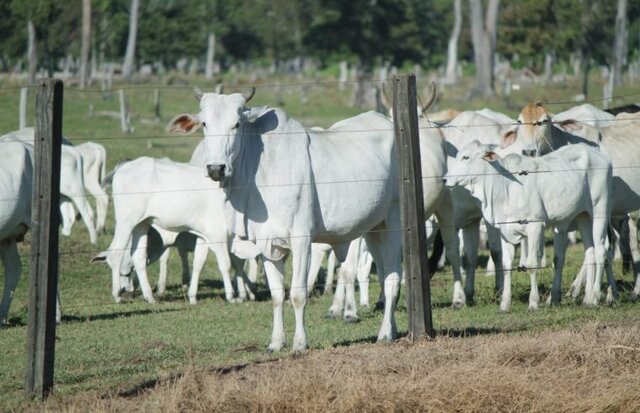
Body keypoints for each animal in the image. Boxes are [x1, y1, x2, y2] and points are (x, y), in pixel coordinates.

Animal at [92, 156, 258, 304]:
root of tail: (123, 168)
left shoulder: (204, 236)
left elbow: (199, 263)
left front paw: (193, 296)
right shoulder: (218, 234)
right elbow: (226, 264)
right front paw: (233, 296)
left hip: (142, 223)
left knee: (138, 256)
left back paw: (149, 297)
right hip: (126, 221)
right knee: (115, 253)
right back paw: (117, 295)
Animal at [166, 89, 404, 350]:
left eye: (237, 124)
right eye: (205, 124)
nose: (216, 168)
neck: (259, 171)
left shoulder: (301, 240)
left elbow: (298, 295)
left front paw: (299, 344)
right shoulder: (266, 243)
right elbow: (277, 295)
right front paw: (276, 342)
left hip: (394, 222)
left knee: (392, 279)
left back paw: (385, 333)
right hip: (375, 228)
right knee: (384, 274)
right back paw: (391, 329)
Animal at [448, 142, 612, 308]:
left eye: (466, 157)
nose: (445, 179)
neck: (505, 187)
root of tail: (595, 152)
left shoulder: (535, 227)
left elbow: (532, 264)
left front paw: (533, 302)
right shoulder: (505, 231)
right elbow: (506, 265)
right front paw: (504, 304)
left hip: (600, 211)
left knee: (601, 250)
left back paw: (596, 296)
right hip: (583, 217)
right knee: (590, 251)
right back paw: (587, 299)